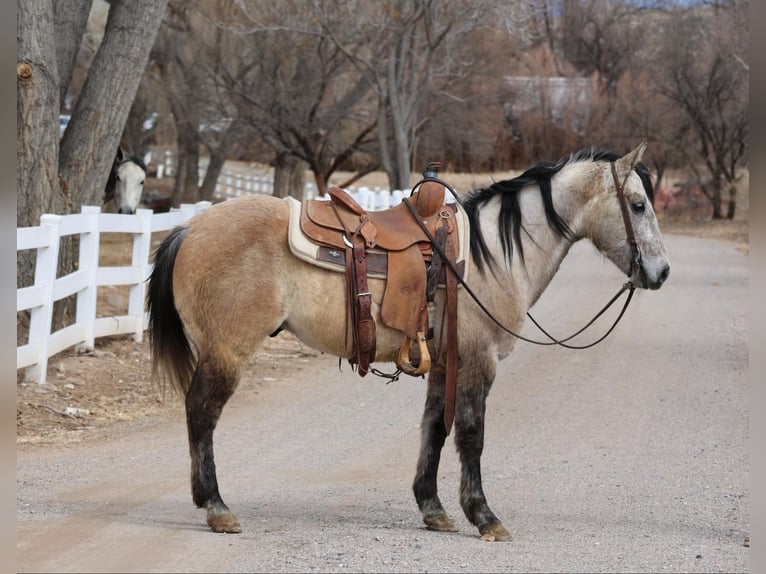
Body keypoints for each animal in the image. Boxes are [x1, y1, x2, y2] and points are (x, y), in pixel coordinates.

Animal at [147, 142, 670, 539]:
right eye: (638, 205)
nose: (661, 272)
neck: (492, 257)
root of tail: (190, 227)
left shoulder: (443, 364)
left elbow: (434, 430)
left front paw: (433, 508)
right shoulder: (479, 362)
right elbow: (472, 435)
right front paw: (484, 517)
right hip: (227, 352)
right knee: (202, 413)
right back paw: (216, 506)